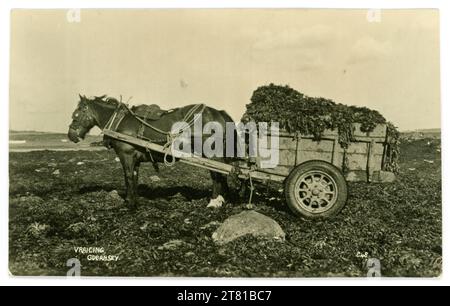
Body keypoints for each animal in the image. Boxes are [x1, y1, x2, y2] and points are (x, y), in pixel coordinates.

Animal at [68, 94, 236, 209]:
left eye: (77, 114)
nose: (71, 135)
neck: (120, 121)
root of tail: (218, 113)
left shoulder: (126, 155)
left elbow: (128, 177)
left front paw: (130, 203)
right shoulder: (135, 158)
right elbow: (134, 177)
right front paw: (134, 200)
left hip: (210, 152)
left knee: (217, 174)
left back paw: (214, 201)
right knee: (223, 173)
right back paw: (225, 198)